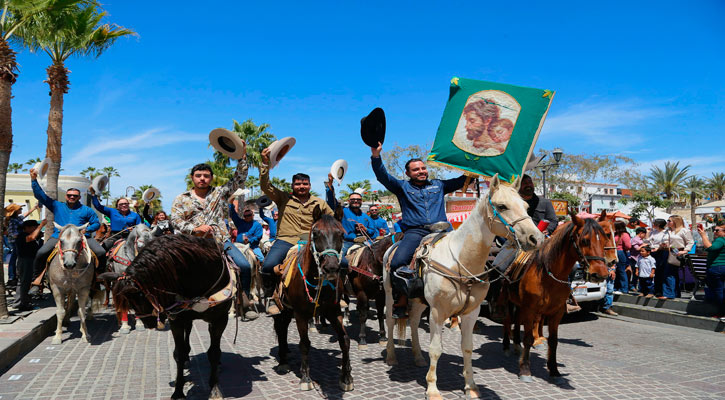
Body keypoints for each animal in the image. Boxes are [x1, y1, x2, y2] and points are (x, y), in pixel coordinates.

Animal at [102, 234, 236, 400]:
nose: (148, 322)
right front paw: (178, 390)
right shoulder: (176, 320)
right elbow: (179, 353)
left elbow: (214, 353)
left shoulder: (220, 319)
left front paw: (215, 388)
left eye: (138, 297)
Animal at [272, 212, 354, 390]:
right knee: (281, 329)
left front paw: (346, 378)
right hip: (284, 309)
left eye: (341, 234)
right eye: (316, 233)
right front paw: (305, 378)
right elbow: (304, 344)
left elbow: (344, 340)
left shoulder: (333, 312)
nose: (331, 268)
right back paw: (282, 362)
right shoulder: (300, 315)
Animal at [384, 175, 544, 400]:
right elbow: (436, 349)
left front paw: (471, 386)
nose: (536, 238)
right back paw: (391, 356)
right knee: (390, 320)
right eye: (502, 206)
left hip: (419, 300)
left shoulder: (471, 312)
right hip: (390, 293)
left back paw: (417, 357)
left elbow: (467, 348)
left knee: (414, 321)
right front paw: (432, 389)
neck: (461, 263)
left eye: (526, 206)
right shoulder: (437, 312)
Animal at [504, 214, 612, 382]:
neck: (548, 274)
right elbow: (528, 338)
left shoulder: (557, 312)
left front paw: (554, 370)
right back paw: (506, 347)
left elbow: (553, 341)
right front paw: (525, 370)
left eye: (604, 239)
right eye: (585, 240)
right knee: (507, 320)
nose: (601, 274)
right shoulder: (531, 309)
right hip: (506, 299)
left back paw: (516, 345)